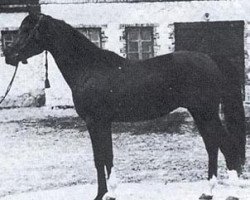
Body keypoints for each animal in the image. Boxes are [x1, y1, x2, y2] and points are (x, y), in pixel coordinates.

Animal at [4, 13, 246, 199]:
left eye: (28, 30)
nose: (8, 55)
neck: (89, 67)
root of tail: (211, 59)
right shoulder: (102, 123)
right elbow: (105, 156)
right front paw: (108, 193)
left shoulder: (95, 122)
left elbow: (101, 158)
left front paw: (103, 194)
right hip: (200, 113)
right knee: (213, 146)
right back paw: (208, 191)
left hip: (206, 112)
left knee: (226, 145)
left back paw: (231, 193)